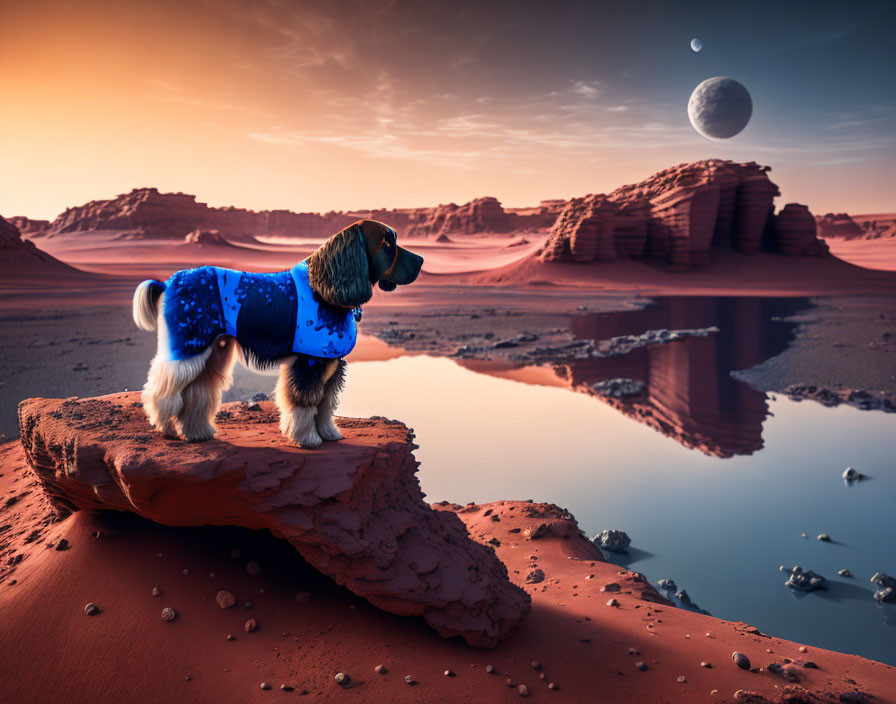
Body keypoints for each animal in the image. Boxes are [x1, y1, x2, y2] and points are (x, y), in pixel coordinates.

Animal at [132, 220, 424, 448]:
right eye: (387, 244)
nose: (421, 260)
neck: (325, 290)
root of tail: (168, 282)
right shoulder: (308, 363)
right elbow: (305, 405)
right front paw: (307, 439)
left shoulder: (330, 364)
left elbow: (326, 404)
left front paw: (328, 433)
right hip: (189, 345)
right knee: (163, 392)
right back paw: (167, 429)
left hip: (212, 351)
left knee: (197, 392)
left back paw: (197, 432)